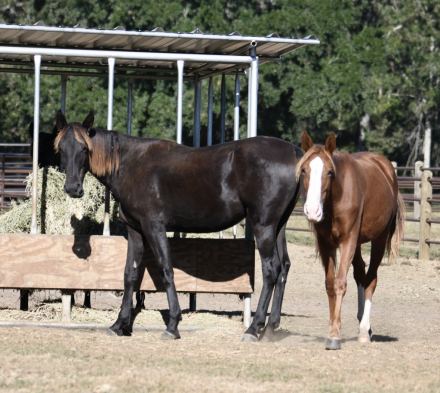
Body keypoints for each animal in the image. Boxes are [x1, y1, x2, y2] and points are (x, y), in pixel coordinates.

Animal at [54, 110, 302, 340]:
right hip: (278, 226)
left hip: (263, 225)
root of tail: (294, 152)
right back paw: (270, 327)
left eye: (84, 148)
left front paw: (172, 325)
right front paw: (119, 325)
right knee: (284, 267)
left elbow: (166, 269)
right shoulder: (135, 230)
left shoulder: (153, 226)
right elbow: (129, 274)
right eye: (61, 149)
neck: (131, 164)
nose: (73, 189)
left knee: (271, 270)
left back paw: (253, 328)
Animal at [298, 132, 404, 350]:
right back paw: (364, 323)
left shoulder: (348, 240)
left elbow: (340, 283)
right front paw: (333, 327)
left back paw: (364, 331)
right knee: (361, 274)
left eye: (330, 172)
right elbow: (330, 284)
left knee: (371, 279)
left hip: (378, 240)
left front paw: (334, 335)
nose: (312, 210)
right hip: (357, 244)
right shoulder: (326, 244)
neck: (337, 197)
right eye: (304, 169)